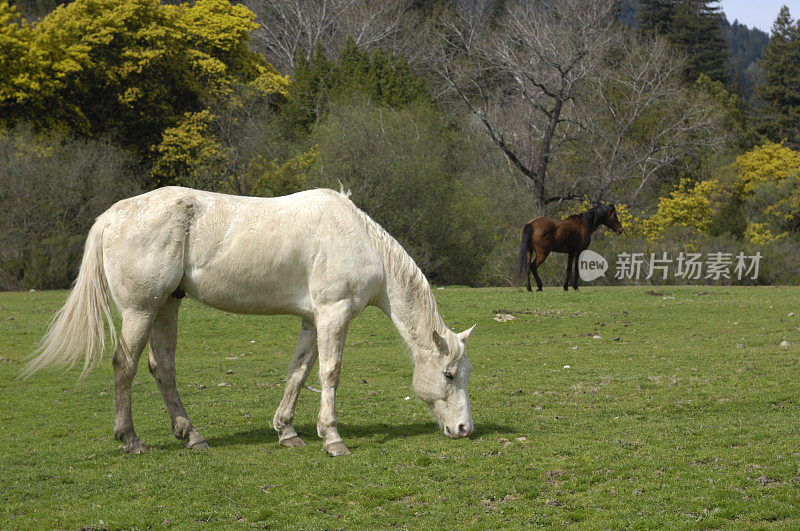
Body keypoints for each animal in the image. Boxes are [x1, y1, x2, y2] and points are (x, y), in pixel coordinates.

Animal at [23, 186, 476, 458]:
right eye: (449, 375)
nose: (464, 429)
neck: (359, 240)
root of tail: (113, 215)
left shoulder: (312, 320)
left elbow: (299, 372)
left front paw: (287, 432)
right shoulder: (334, 313)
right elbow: (329, 373)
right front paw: (332, 439)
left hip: (165, 307)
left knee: (162, 368)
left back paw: (192, 436)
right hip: (140, 310)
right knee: (125, 366)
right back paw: (131, 439)